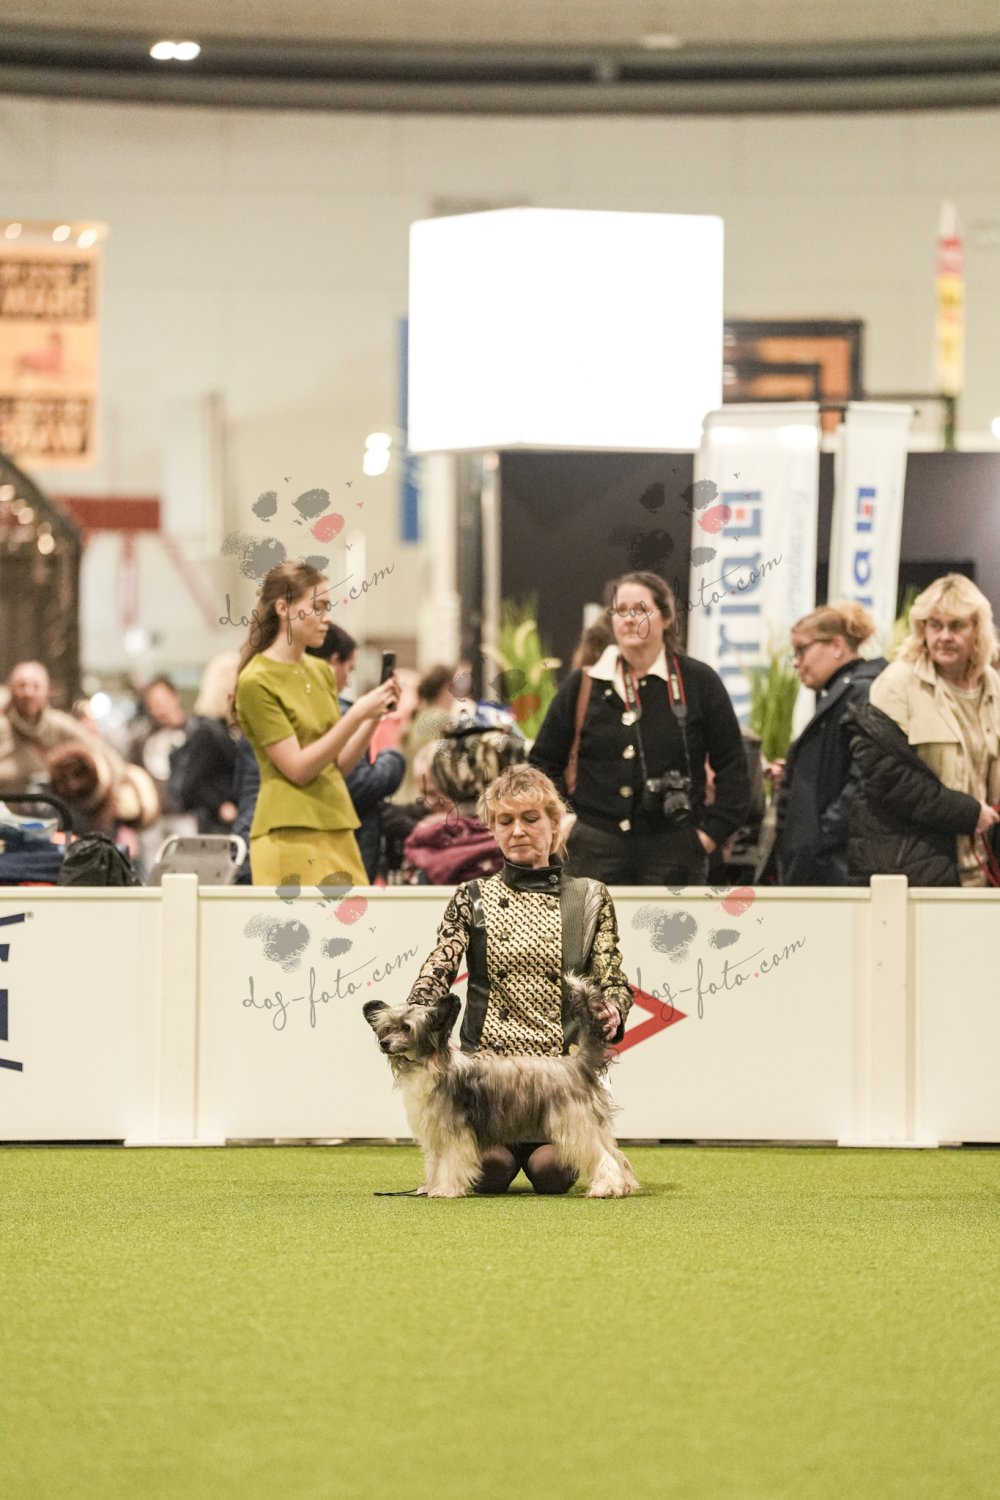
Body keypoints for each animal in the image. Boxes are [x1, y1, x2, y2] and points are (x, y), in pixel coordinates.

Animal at [362, 976, 638, 1199]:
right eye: (387, 1028)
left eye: (406, 1028)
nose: (385, 1043)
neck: (430, 1065)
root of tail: (577, 1064)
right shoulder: (436, 1136)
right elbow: (435, 1165)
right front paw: (430, 1186)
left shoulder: (454, 1134)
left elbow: (450, 1164)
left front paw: (445, 1190)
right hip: (594, 1125)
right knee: (616, 1155)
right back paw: (624, 1185)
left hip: (575, 1126)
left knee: (603, 1157)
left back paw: (606, 1188)